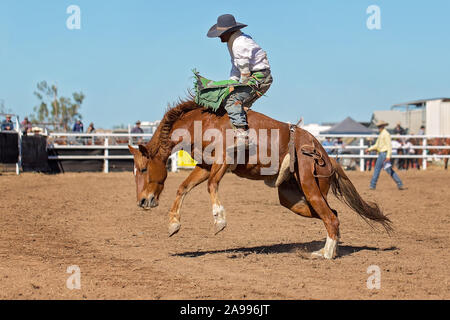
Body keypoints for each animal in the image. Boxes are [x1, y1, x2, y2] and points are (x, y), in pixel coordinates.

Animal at [128, 100, 392, 260]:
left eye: (143, 169)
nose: (141, 201)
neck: (204, 122)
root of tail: (326, 155)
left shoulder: (222, 161)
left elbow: (212, 185)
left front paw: (219, 219)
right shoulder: (204, 166)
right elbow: (183, 187)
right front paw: (173, 224)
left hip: (310, 185)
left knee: (331, 218)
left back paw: (325, 254)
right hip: (294, 199)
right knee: (333, 215)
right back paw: (331, 249)